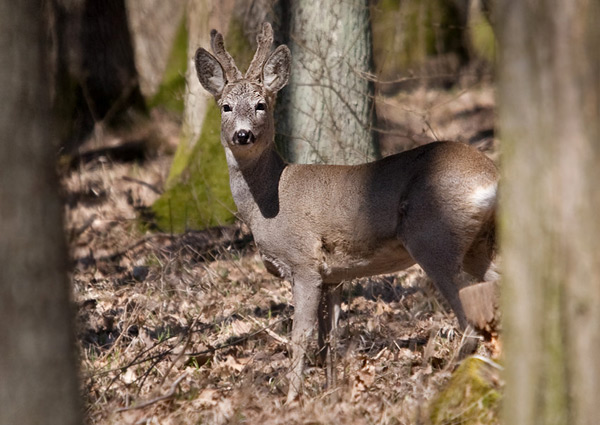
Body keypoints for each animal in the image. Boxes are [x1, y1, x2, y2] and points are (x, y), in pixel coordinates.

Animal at [195, 22, 500, 400]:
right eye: (225, 106)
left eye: (260, 104)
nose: (242, 135)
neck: (266, 203)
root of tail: (490, 176)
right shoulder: (334, 276)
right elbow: (329, 340)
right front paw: (330, 394)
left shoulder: (304, 264)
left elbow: (301, 338)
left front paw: (292, 400)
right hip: (479, 247)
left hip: (434, 239)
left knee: (469, 319)